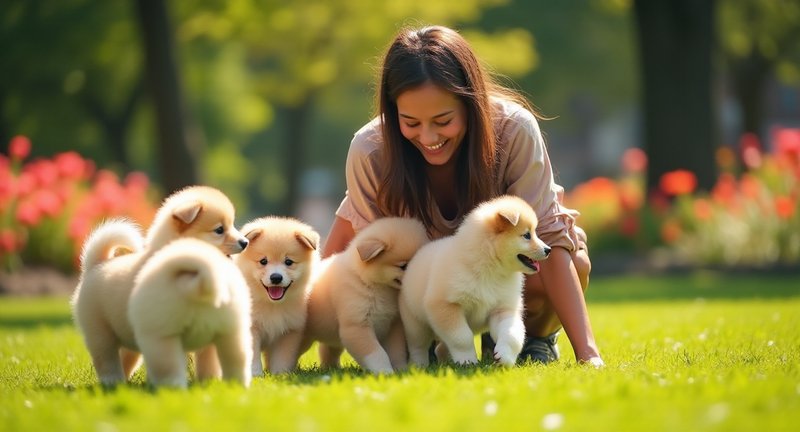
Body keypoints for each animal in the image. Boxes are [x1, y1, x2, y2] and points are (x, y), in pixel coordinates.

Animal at [233, 218, 320, 376]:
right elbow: (252, 355)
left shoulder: (289, 331)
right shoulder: (251, 328)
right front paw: (255, 375)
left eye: (288, 262)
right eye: (263, 261)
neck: (272, 305)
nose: (276, 277)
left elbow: (282, 357)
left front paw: (280, 375)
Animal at [300, 218, 428, 372]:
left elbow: (396, 352)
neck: (376, 286)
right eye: (403, 266)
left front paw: (400, 370)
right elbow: (377, 353)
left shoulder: (393, 325)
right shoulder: (357, 325)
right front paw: (384, 371)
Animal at [398, 196, 552, 368]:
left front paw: (504, 356)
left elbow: (512, 333)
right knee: (418, 345)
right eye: (526, 235)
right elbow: (461, 337)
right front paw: (467, 360)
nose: (548, 250)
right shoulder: (445, 306)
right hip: (415, 322)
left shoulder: (503, 309)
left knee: (440, 346)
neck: (491, 268)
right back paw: (419, 365)